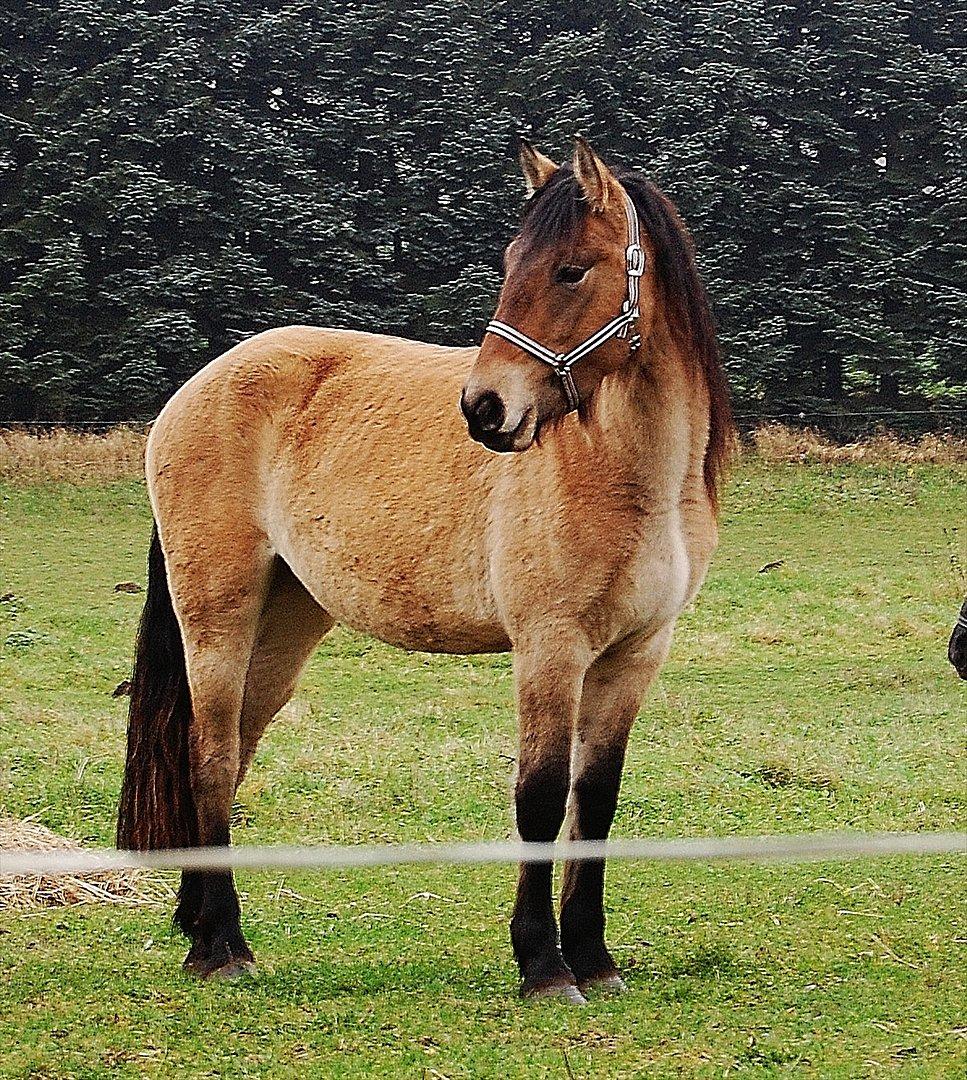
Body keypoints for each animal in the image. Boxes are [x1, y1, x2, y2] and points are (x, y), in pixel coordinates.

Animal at [117, 137, 730, 1002]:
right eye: (512, 261)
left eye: (570, 270)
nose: (484, 408)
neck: (627, 473)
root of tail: (198, 386)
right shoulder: (549, 648)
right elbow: (539, 798)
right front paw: (543, 965)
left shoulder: (636, 653)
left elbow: (595, 802)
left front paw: (594, 958)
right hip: (218, 612)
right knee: (207, 760)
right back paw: (222, 948)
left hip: (286, 622)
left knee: (231, 757)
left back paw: (198, 928)